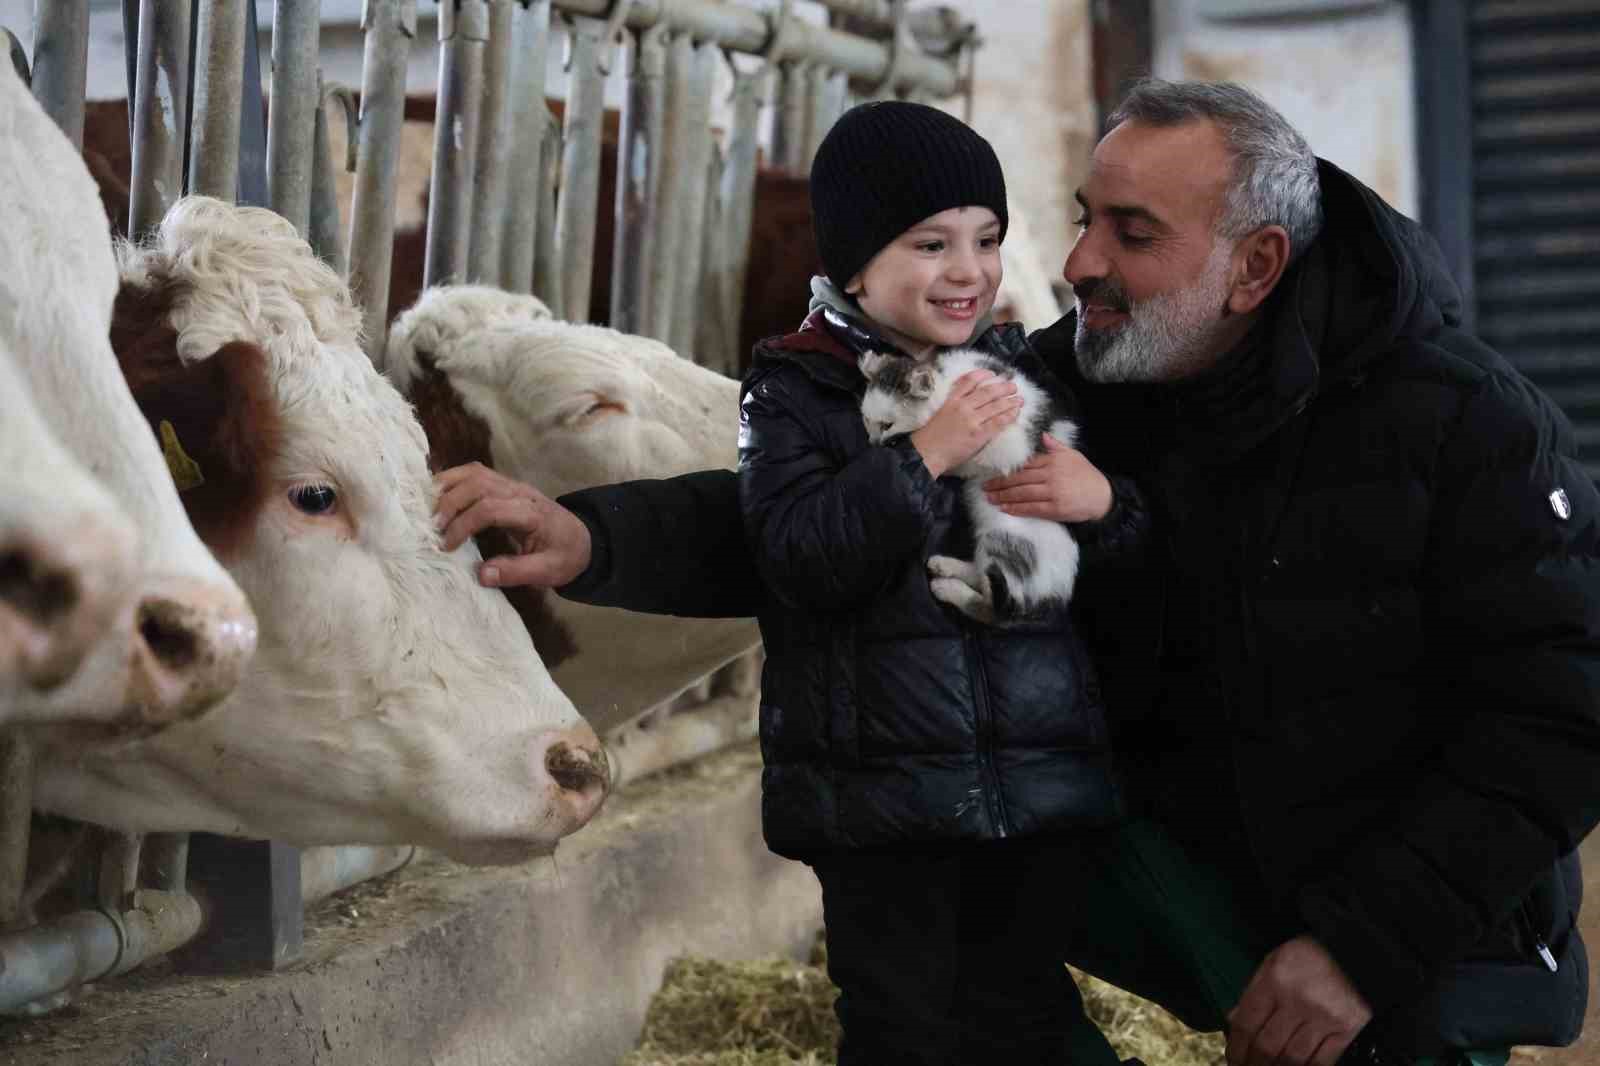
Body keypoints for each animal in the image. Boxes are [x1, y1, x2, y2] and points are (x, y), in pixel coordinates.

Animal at [857, 347, 1081, 624]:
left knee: (990, 609)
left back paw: (946, 587)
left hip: (1003, 541)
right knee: (981, 576)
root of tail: (1055, 593)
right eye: (866, 419)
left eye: (887, 425)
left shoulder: (1004, 448)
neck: (948, 387)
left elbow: (969, 462)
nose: (873, 443)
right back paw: (944, 566)